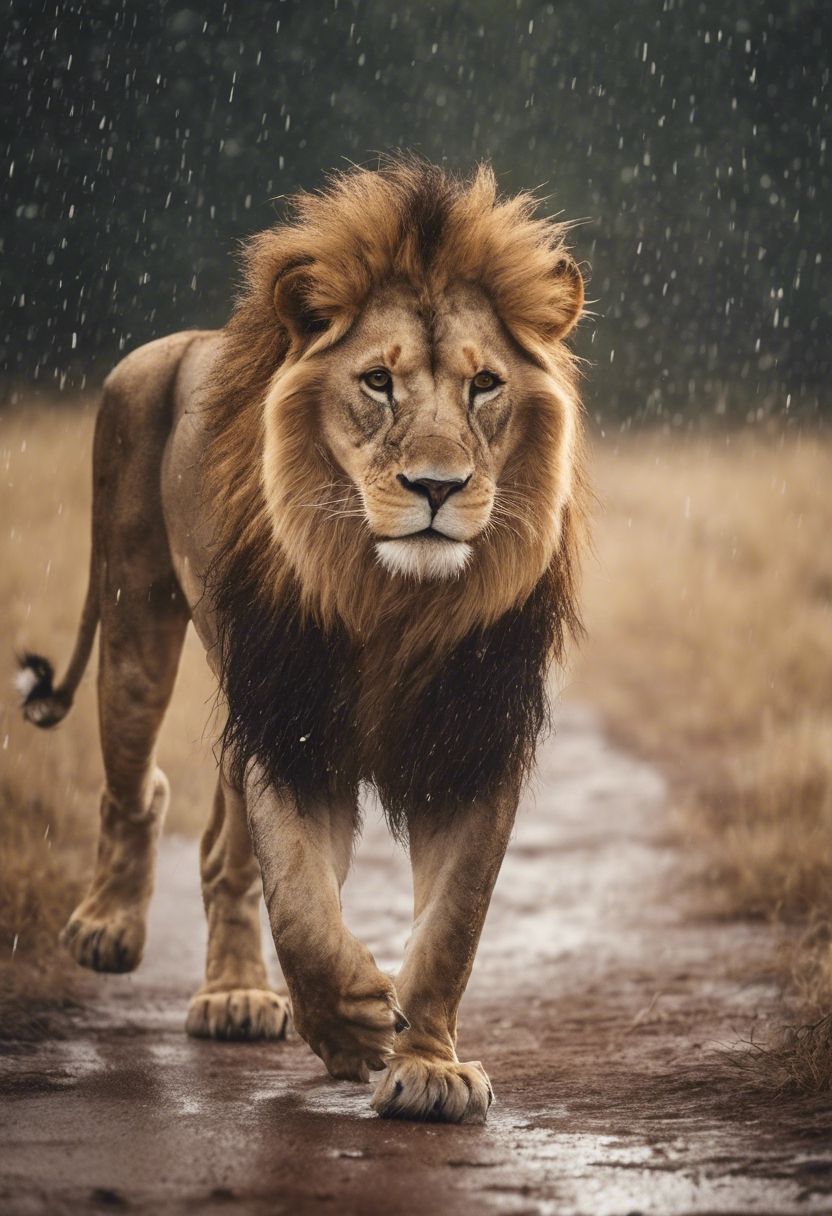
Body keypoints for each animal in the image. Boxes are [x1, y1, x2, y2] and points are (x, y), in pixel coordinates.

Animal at [18, 158, 586, 1124]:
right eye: (378, 383)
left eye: (484, 385)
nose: (437, 487)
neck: (394, 599)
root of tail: (177, 343)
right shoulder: (290, 728)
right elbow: (302, 905)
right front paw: (351, 1021)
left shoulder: (471, 740)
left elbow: (454, 925)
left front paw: (428, 1066)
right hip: (137, 616)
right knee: (136, 784)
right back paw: (110, 929)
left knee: (222, 852)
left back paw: (236, 995)